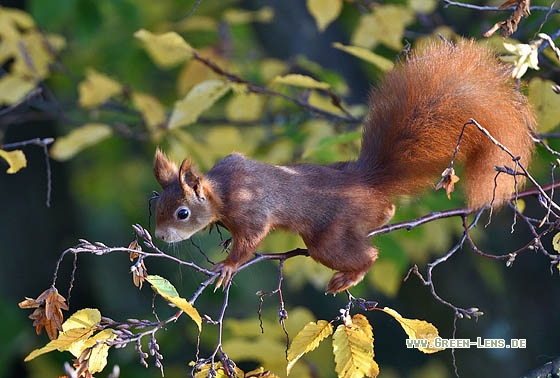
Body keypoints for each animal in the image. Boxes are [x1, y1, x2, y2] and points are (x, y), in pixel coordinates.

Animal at [152, 39, 532, 294]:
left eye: (182, 213)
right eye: (156, 204)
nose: (159, 236)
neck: (223, 189)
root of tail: (366, 182)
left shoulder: (252, 207)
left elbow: (251, 239)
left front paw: (228, 265)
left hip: (329, 236)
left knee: (368, 253)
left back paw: (350, 274)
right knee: (385, 214)